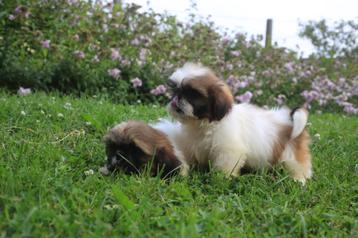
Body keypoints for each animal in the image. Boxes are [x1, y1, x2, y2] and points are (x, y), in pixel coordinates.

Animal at [166, 62, 312, 184]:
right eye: (175, 90)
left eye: (192, 94)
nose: (177, 98)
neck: (206, 123)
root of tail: (289, 118)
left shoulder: (228, 149)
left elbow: (226, 165)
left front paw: (221, 178)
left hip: (291, 153)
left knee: (298, 166)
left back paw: (299, 180)